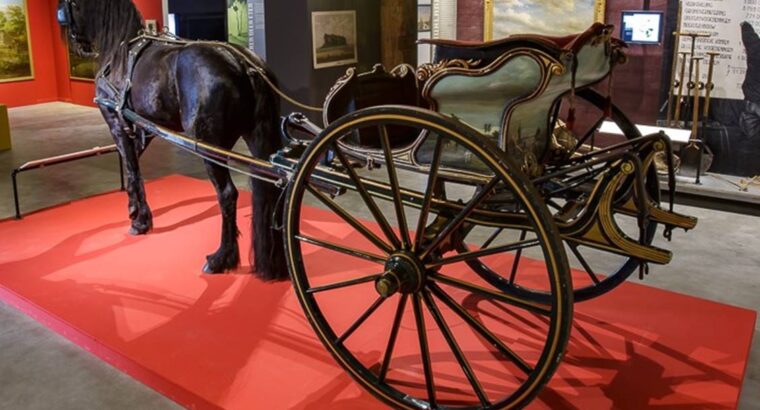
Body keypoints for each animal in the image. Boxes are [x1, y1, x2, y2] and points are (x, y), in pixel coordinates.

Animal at [58, 0, 286, 278]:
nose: (75, 42)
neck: (120, 51)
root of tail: (242, 62)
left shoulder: (116, 123)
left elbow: (132, 168)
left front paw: (140, 220)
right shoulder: (144, 128)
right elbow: (132, 166)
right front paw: (135, 211)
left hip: (209, 147)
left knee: (227, 194)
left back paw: (221, 258)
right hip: (257, 137)